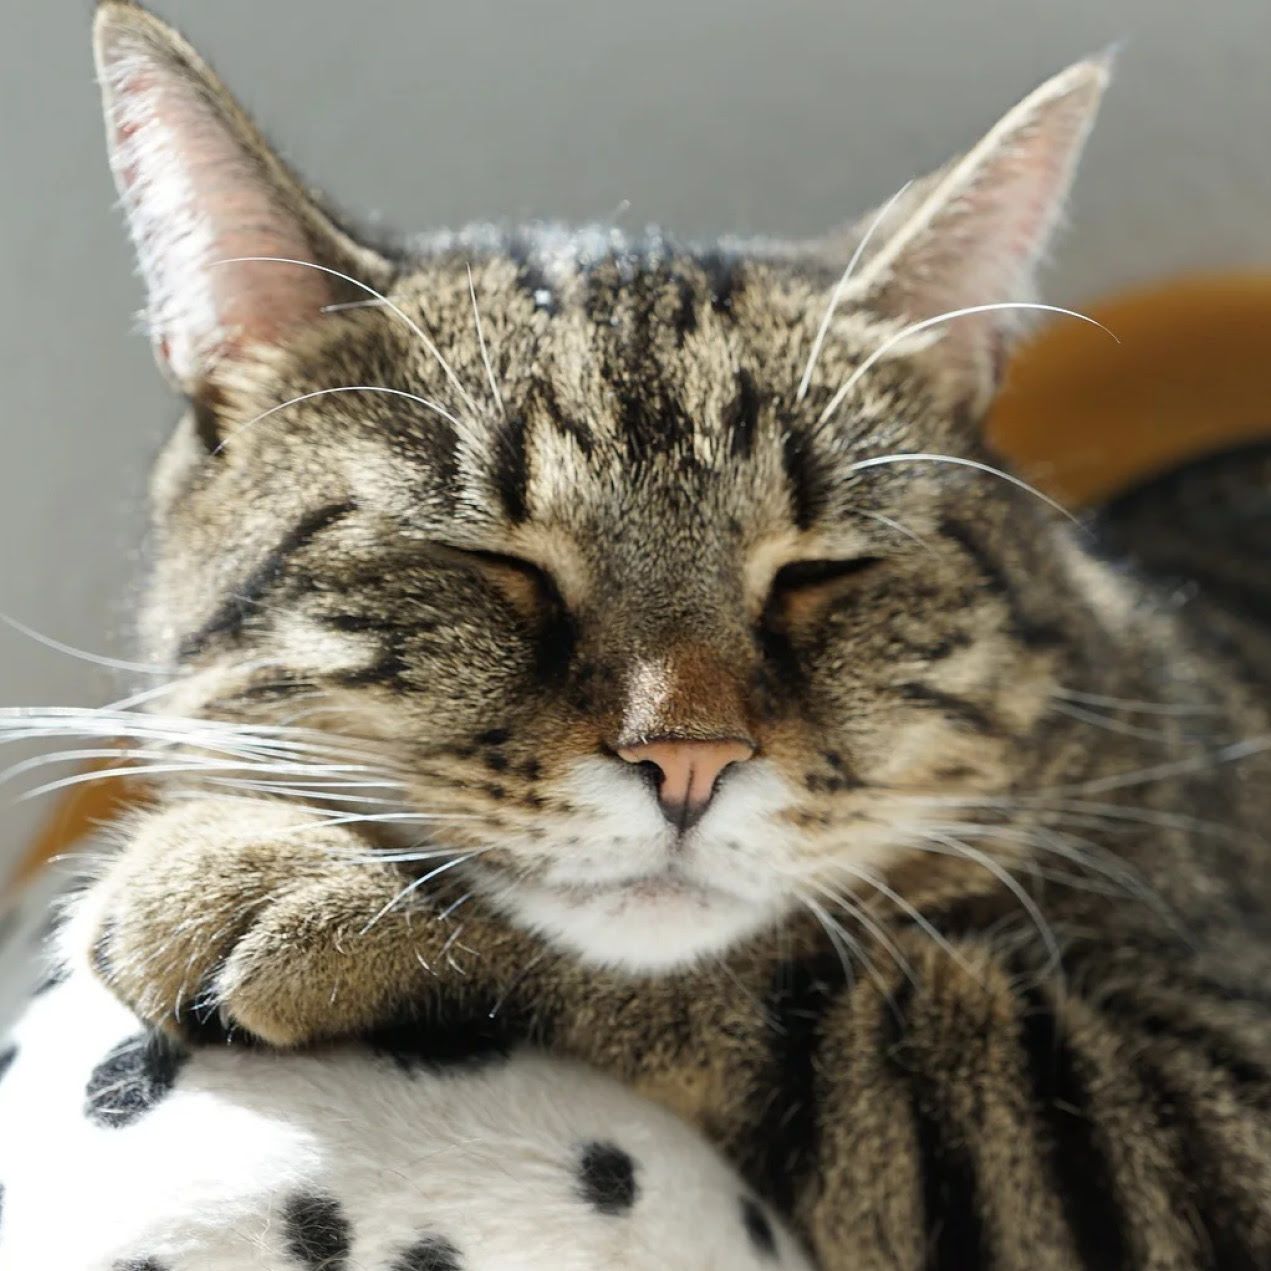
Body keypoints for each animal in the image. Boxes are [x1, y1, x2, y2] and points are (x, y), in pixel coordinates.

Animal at [67, 2, 1271, 1271]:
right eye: (493, 562)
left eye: (817, 572)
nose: (687, 758)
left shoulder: (1192, 1113)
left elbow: (816, 1003)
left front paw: (284, 880)